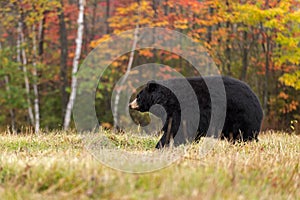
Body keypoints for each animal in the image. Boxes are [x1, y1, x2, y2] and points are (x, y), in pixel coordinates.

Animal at [129, 76, 262, 148]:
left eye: (138, 96)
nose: (130, 104)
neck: (167, 100)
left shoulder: (182, 109)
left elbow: (178, 128)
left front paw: (161, 145)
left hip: (240, 116)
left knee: (243, 134)